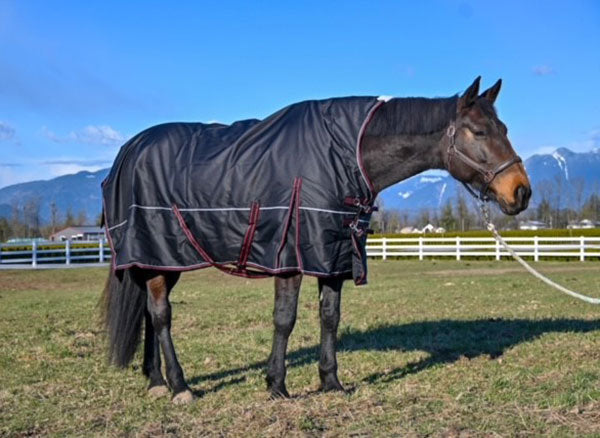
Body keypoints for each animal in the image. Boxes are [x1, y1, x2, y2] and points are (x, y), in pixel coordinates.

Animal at [101, 78, 532, 404]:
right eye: (479, 132)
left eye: (506, 130)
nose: (521, 192)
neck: (345, 153)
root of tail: (128, 150)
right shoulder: (290, 257)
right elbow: (285, 319)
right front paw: (277, 386)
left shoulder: (334, 256)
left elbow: (329, 317)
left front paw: (331, 382)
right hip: (157, 253)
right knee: (161, 315)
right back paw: (180, 388)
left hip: (162, 259)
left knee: (149, 314)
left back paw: (156, 382)